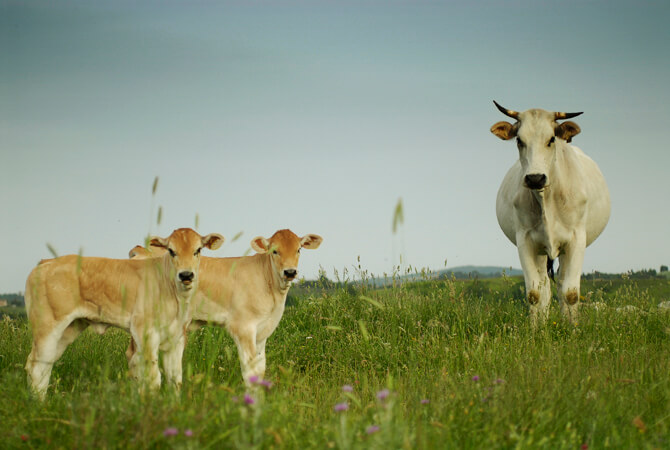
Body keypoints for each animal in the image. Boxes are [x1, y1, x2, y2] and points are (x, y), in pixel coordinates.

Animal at [24, 229, 223, 398]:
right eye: (171, 251)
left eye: (198, 250)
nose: (186, 275)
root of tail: (46, 262)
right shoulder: (145, 333)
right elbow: (153, 378)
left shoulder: (176, 338)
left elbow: (175, 379)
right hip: (47, 325)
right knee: (36, 365)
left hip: (69, 327)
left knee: (45, 363)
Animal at [490, 101, 612, 326]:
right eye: (519, 140)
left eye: (551, 139)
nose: (535, 178)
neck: (546, 199)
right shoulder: (525, 241)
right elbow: (534, 294)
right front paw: (536, 330)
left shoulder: (576, 240)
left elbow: (571, 293)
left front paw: (572, 330)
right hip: (541, 250)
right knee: (545, 286)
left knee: (562, 283)